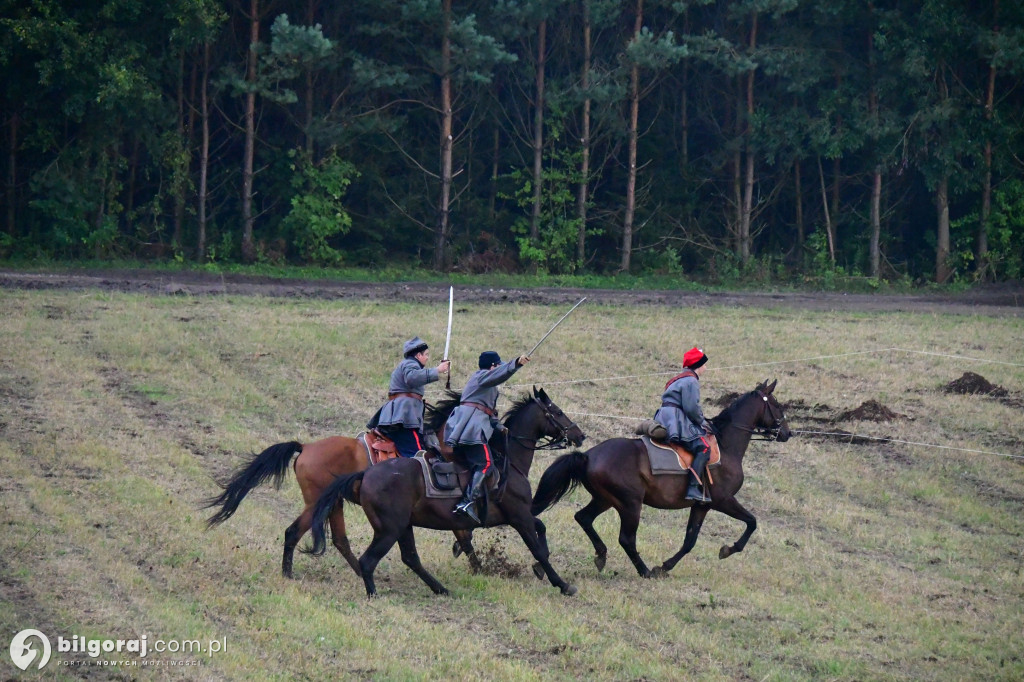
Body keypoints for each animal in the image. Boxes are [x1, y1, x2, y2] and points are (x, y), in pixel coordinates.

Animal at [204, 391, 483, 577]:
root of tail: (305, 447)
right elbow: (464, 535)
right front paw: (479, 566)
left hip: (332, 503)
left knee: (338, 539)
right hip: (318, 503)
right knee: (296, 532)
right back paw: (292, 574)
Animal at [307, 387, 589, 593]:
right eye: (558, 412)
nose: (580, 435)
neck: (507, 461)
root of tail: (366, 474)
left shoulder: (517, 516)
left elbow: (540, 530)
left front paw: (540, 570)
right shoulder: (519, 516)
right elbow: (537, 547)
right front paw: (562, 584)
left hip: (403, 526)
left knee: (410, 558)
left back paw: (440, 589)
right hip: (390, 529)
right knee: (370, 560)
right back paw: (374, 594)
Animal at [532, 378, 786, 577]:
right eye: (777, 405)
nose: (787, 432)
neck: (726, 446)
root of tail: (587, 455)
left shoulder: (701, 506)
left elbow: (689, 541)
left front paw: (665, 567)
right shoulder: (723, 501)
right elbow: (752, 522)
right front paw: (728, 550)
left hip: (605, 499)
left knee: (583, 518)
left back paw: (597, 556)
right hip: (630, 503)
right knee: (626, 538)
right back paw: (643, 571)